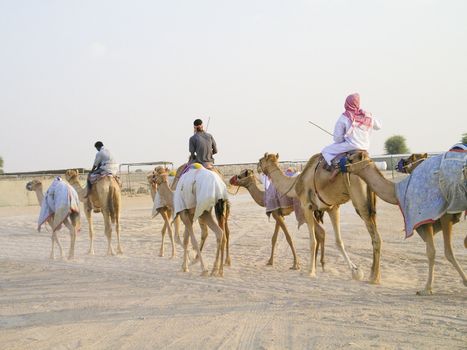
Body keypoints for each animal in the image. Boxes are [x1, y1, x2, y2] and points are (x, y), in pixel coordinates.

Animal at [258, 152, 382, 284]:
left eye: (261, 160)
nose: (257, 167)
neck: (296, 183)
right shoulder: (332, 208)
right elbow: (339, 241)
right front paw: (354, 270)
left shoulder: (306, 206)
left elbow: (313, 241)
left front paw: (311, 271)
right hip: (371, 199)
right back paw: (374, 274)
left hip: (360, 199)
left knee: (375, 237)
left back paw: (374, 277)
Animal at [346, 151, 466, 296]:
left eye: (351, 159)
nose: (342, 165)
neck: (397, 191)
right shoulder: (431, 220)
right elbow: (435, 251)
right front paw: (428, 288)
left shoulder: (440, 217)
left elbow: (441, 252)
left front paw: (426, 289)